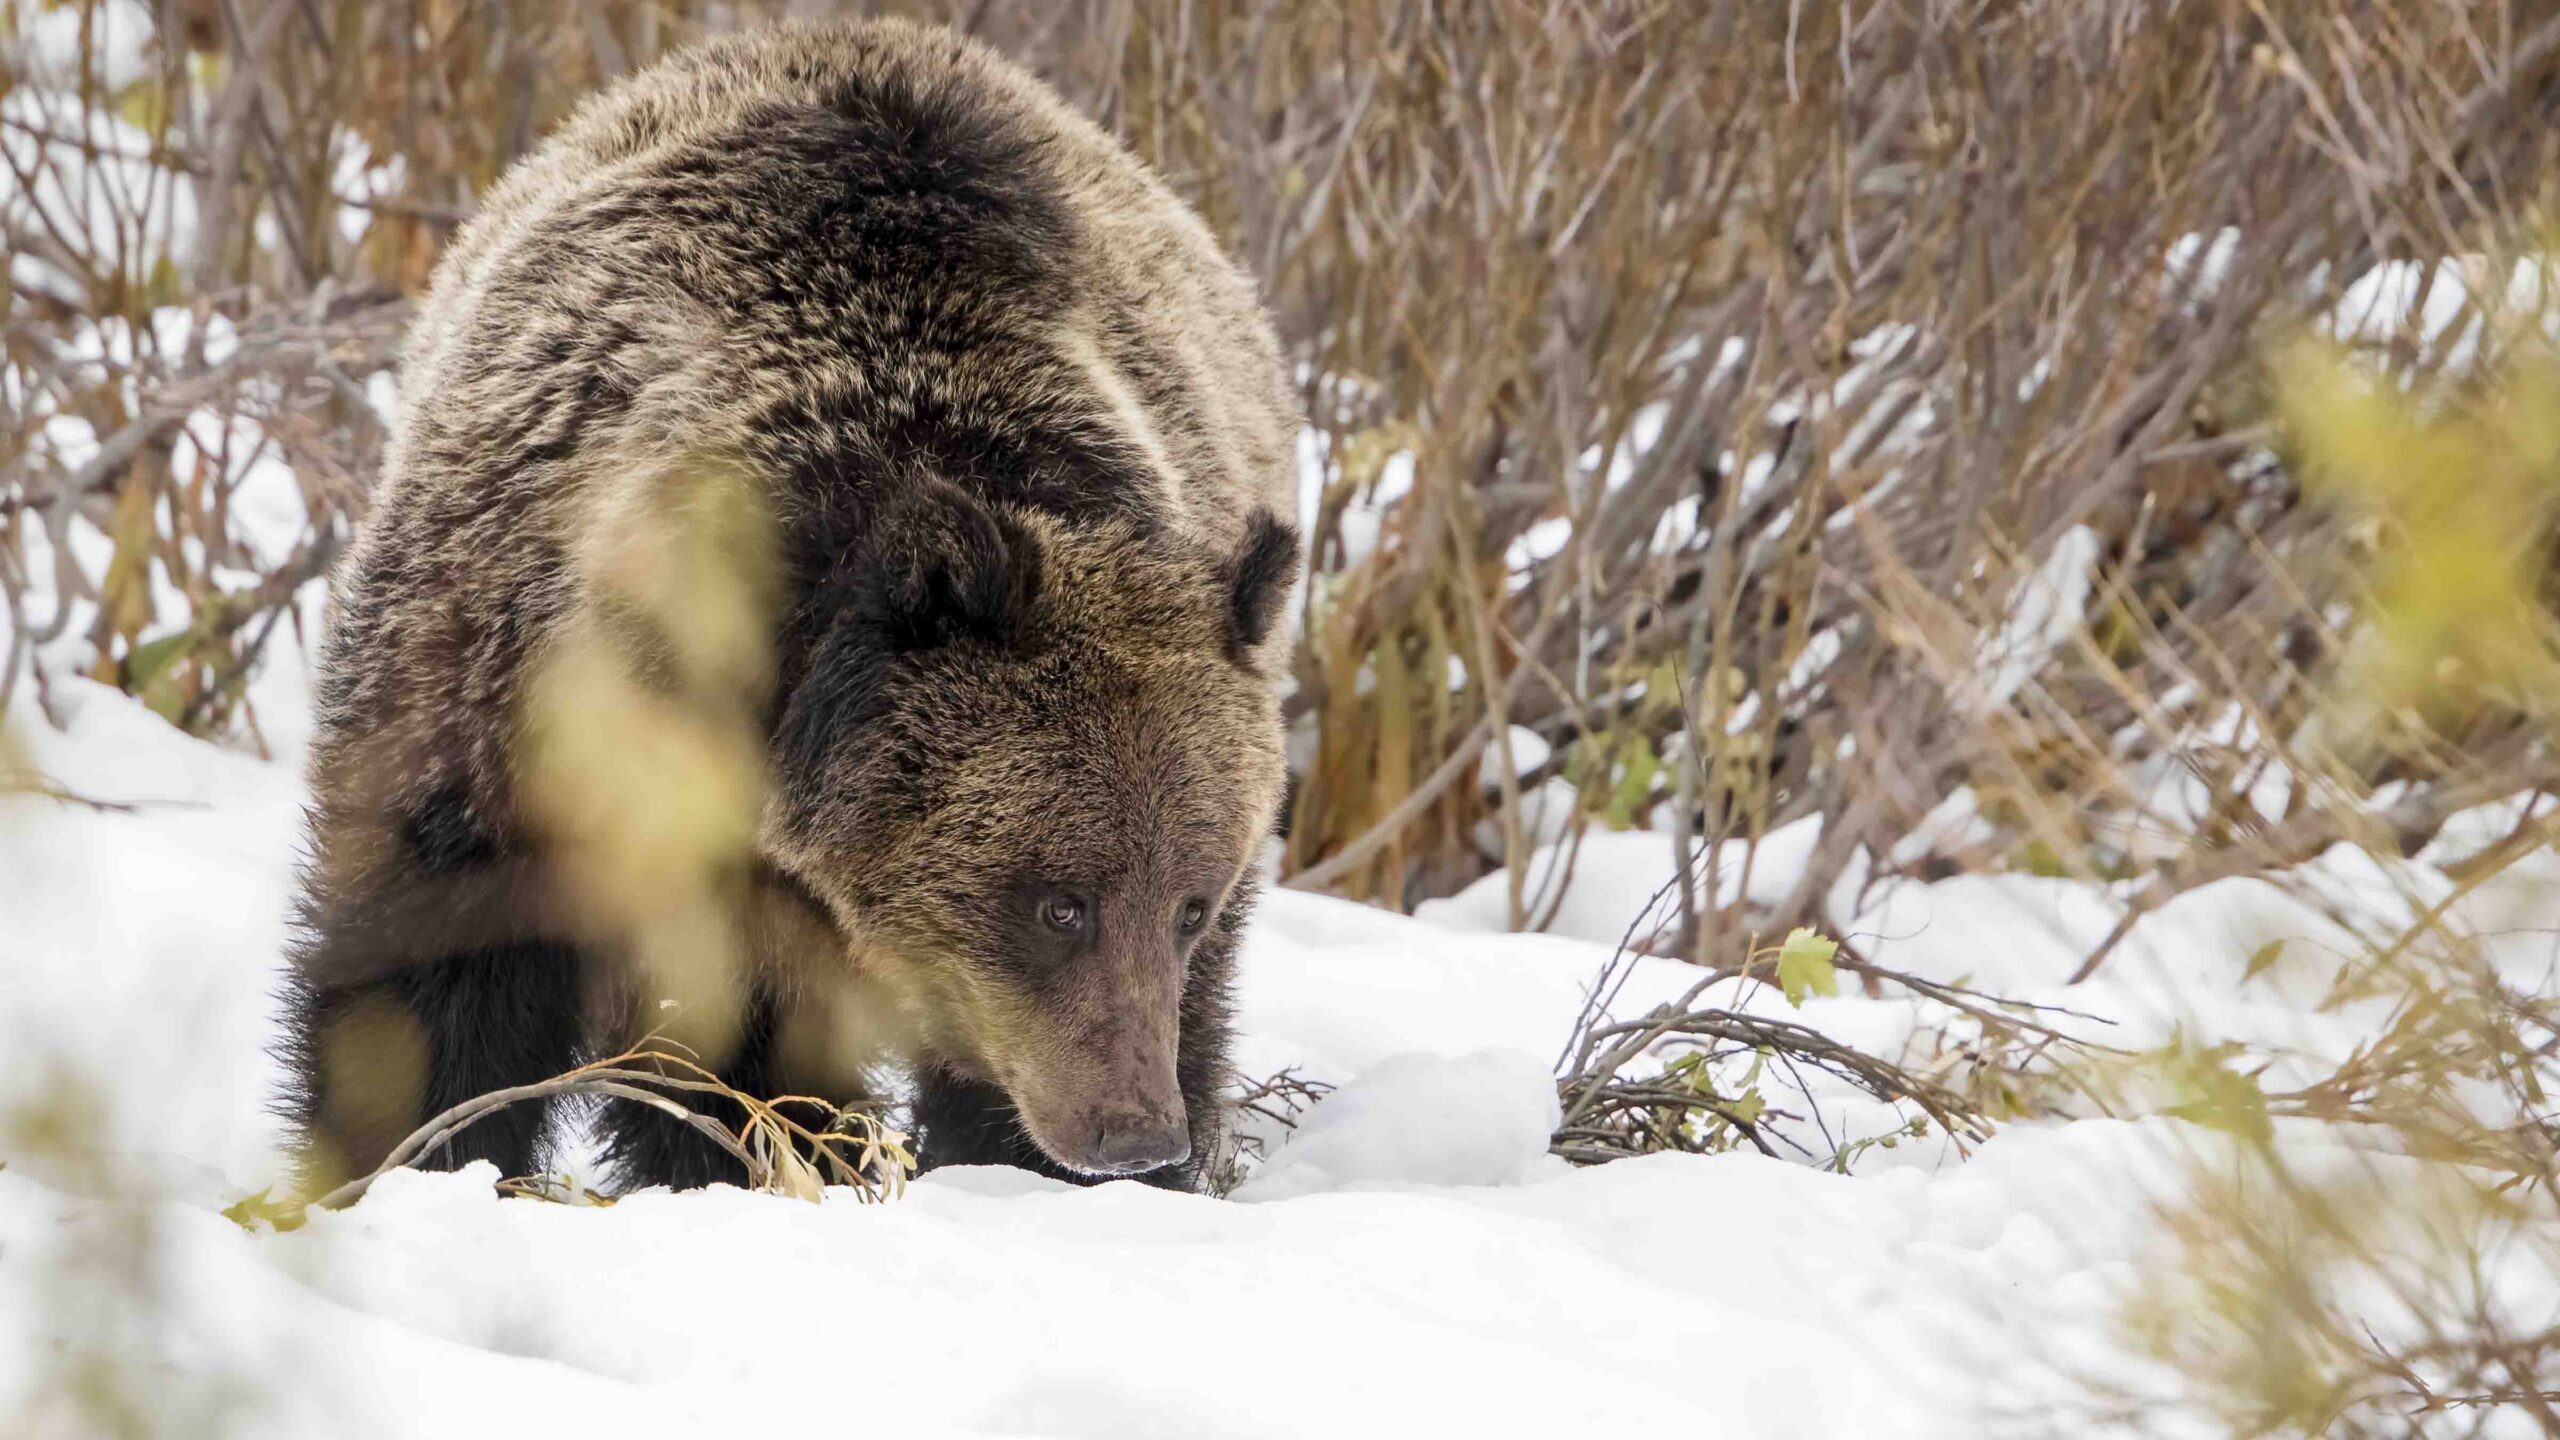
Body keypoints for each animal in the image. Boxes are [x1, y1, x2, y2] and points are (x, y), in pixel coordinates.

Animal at [280, 16, 1300, 1194]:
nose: (1134, 1136)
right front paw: (413, 1155)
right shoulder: (500, 692)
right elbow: (433, 979)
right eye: (1059, 903)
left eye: (1190, 903)